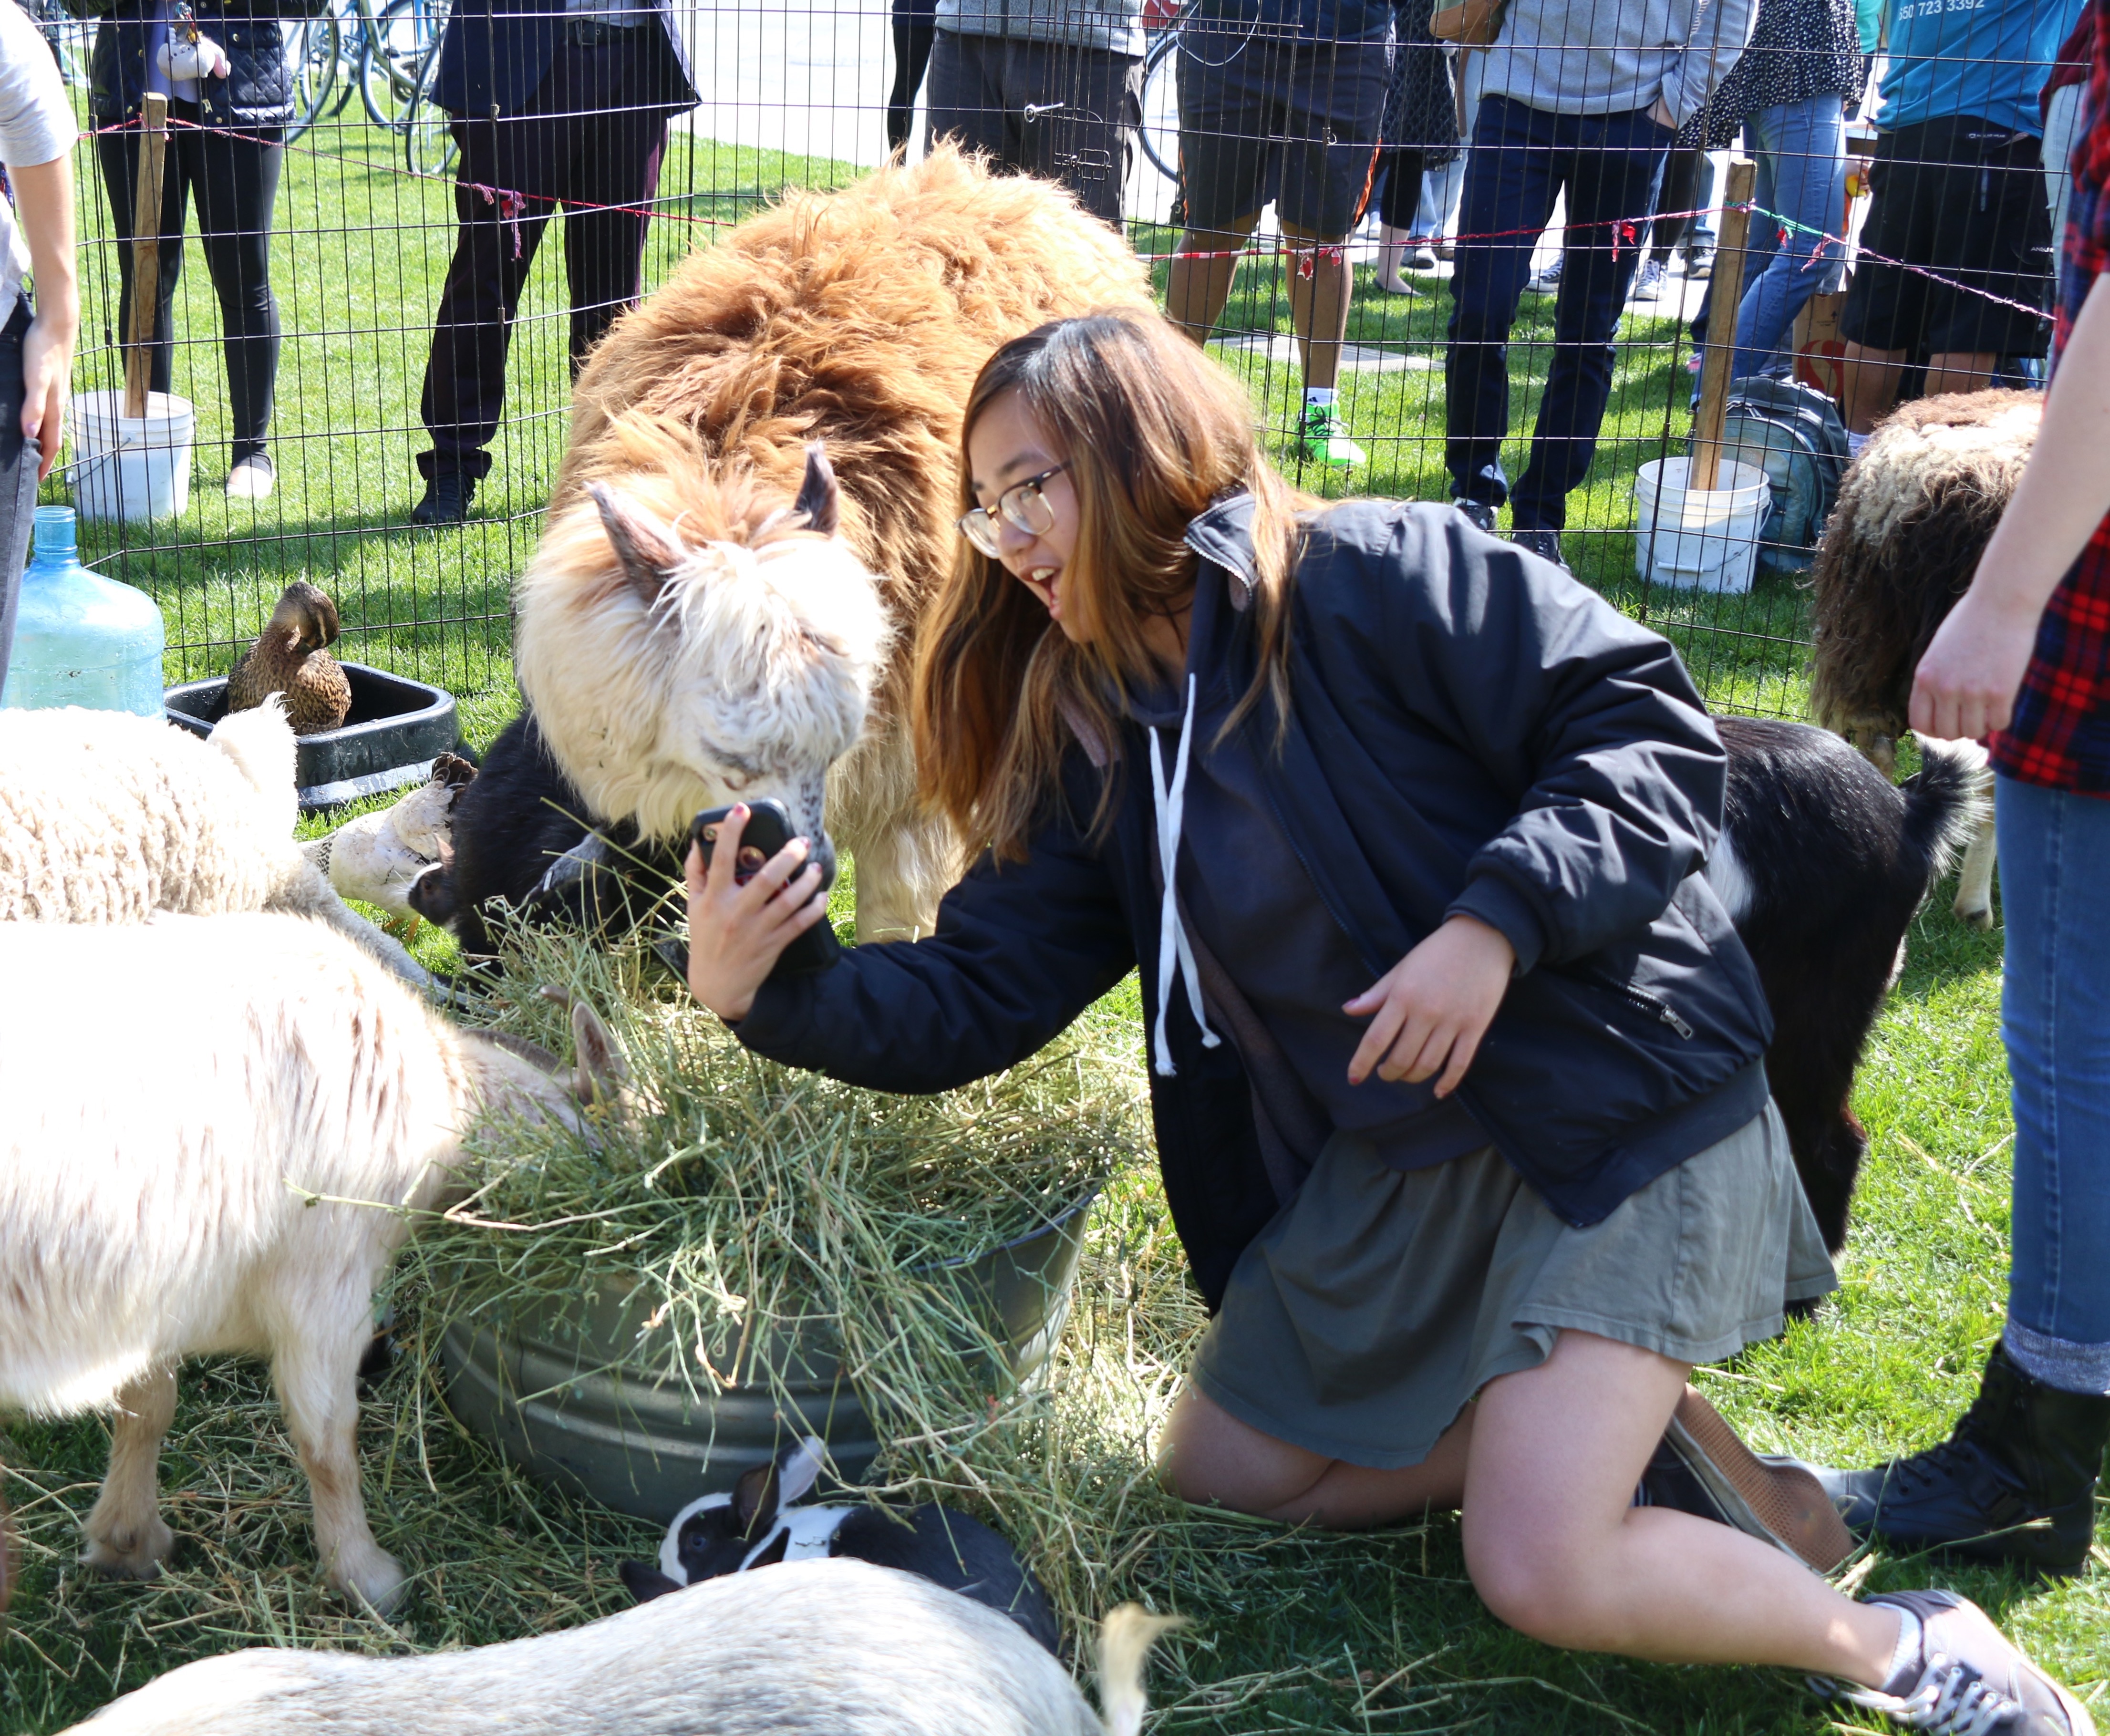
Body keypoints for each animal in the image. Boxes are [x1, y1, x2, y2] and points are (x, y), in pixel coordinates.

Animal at [0, 911, 620, 1620]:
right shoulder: (325, 1282)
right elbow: (328, 1437)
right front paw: (366, 1577)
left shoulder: (154, 1290)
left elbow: (147, 1405)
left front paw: (127, 1541)